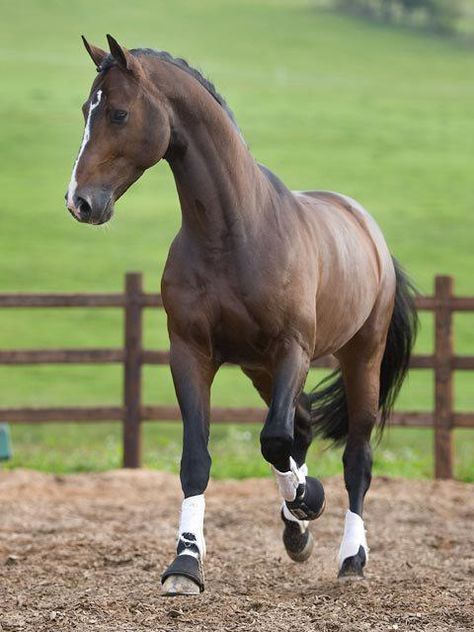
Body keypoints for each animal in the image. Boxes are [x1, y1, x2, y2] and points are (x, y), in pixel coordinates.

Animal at [65, 34, 414, 596]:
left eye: (118, 113)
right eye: (85, 110)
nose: (79, 202)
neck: (233, 235)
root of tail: (366, 226)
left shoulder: (293, 348)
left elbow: (273, 441)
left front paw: (309, 499)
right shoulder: (191, 353)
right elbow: (200, 458)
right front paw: (185, 564)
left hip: (360, 357)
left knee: (354, 457)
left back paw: (350, 557)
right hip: (259, 369)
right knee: (301, 425)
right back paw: (297, 532)